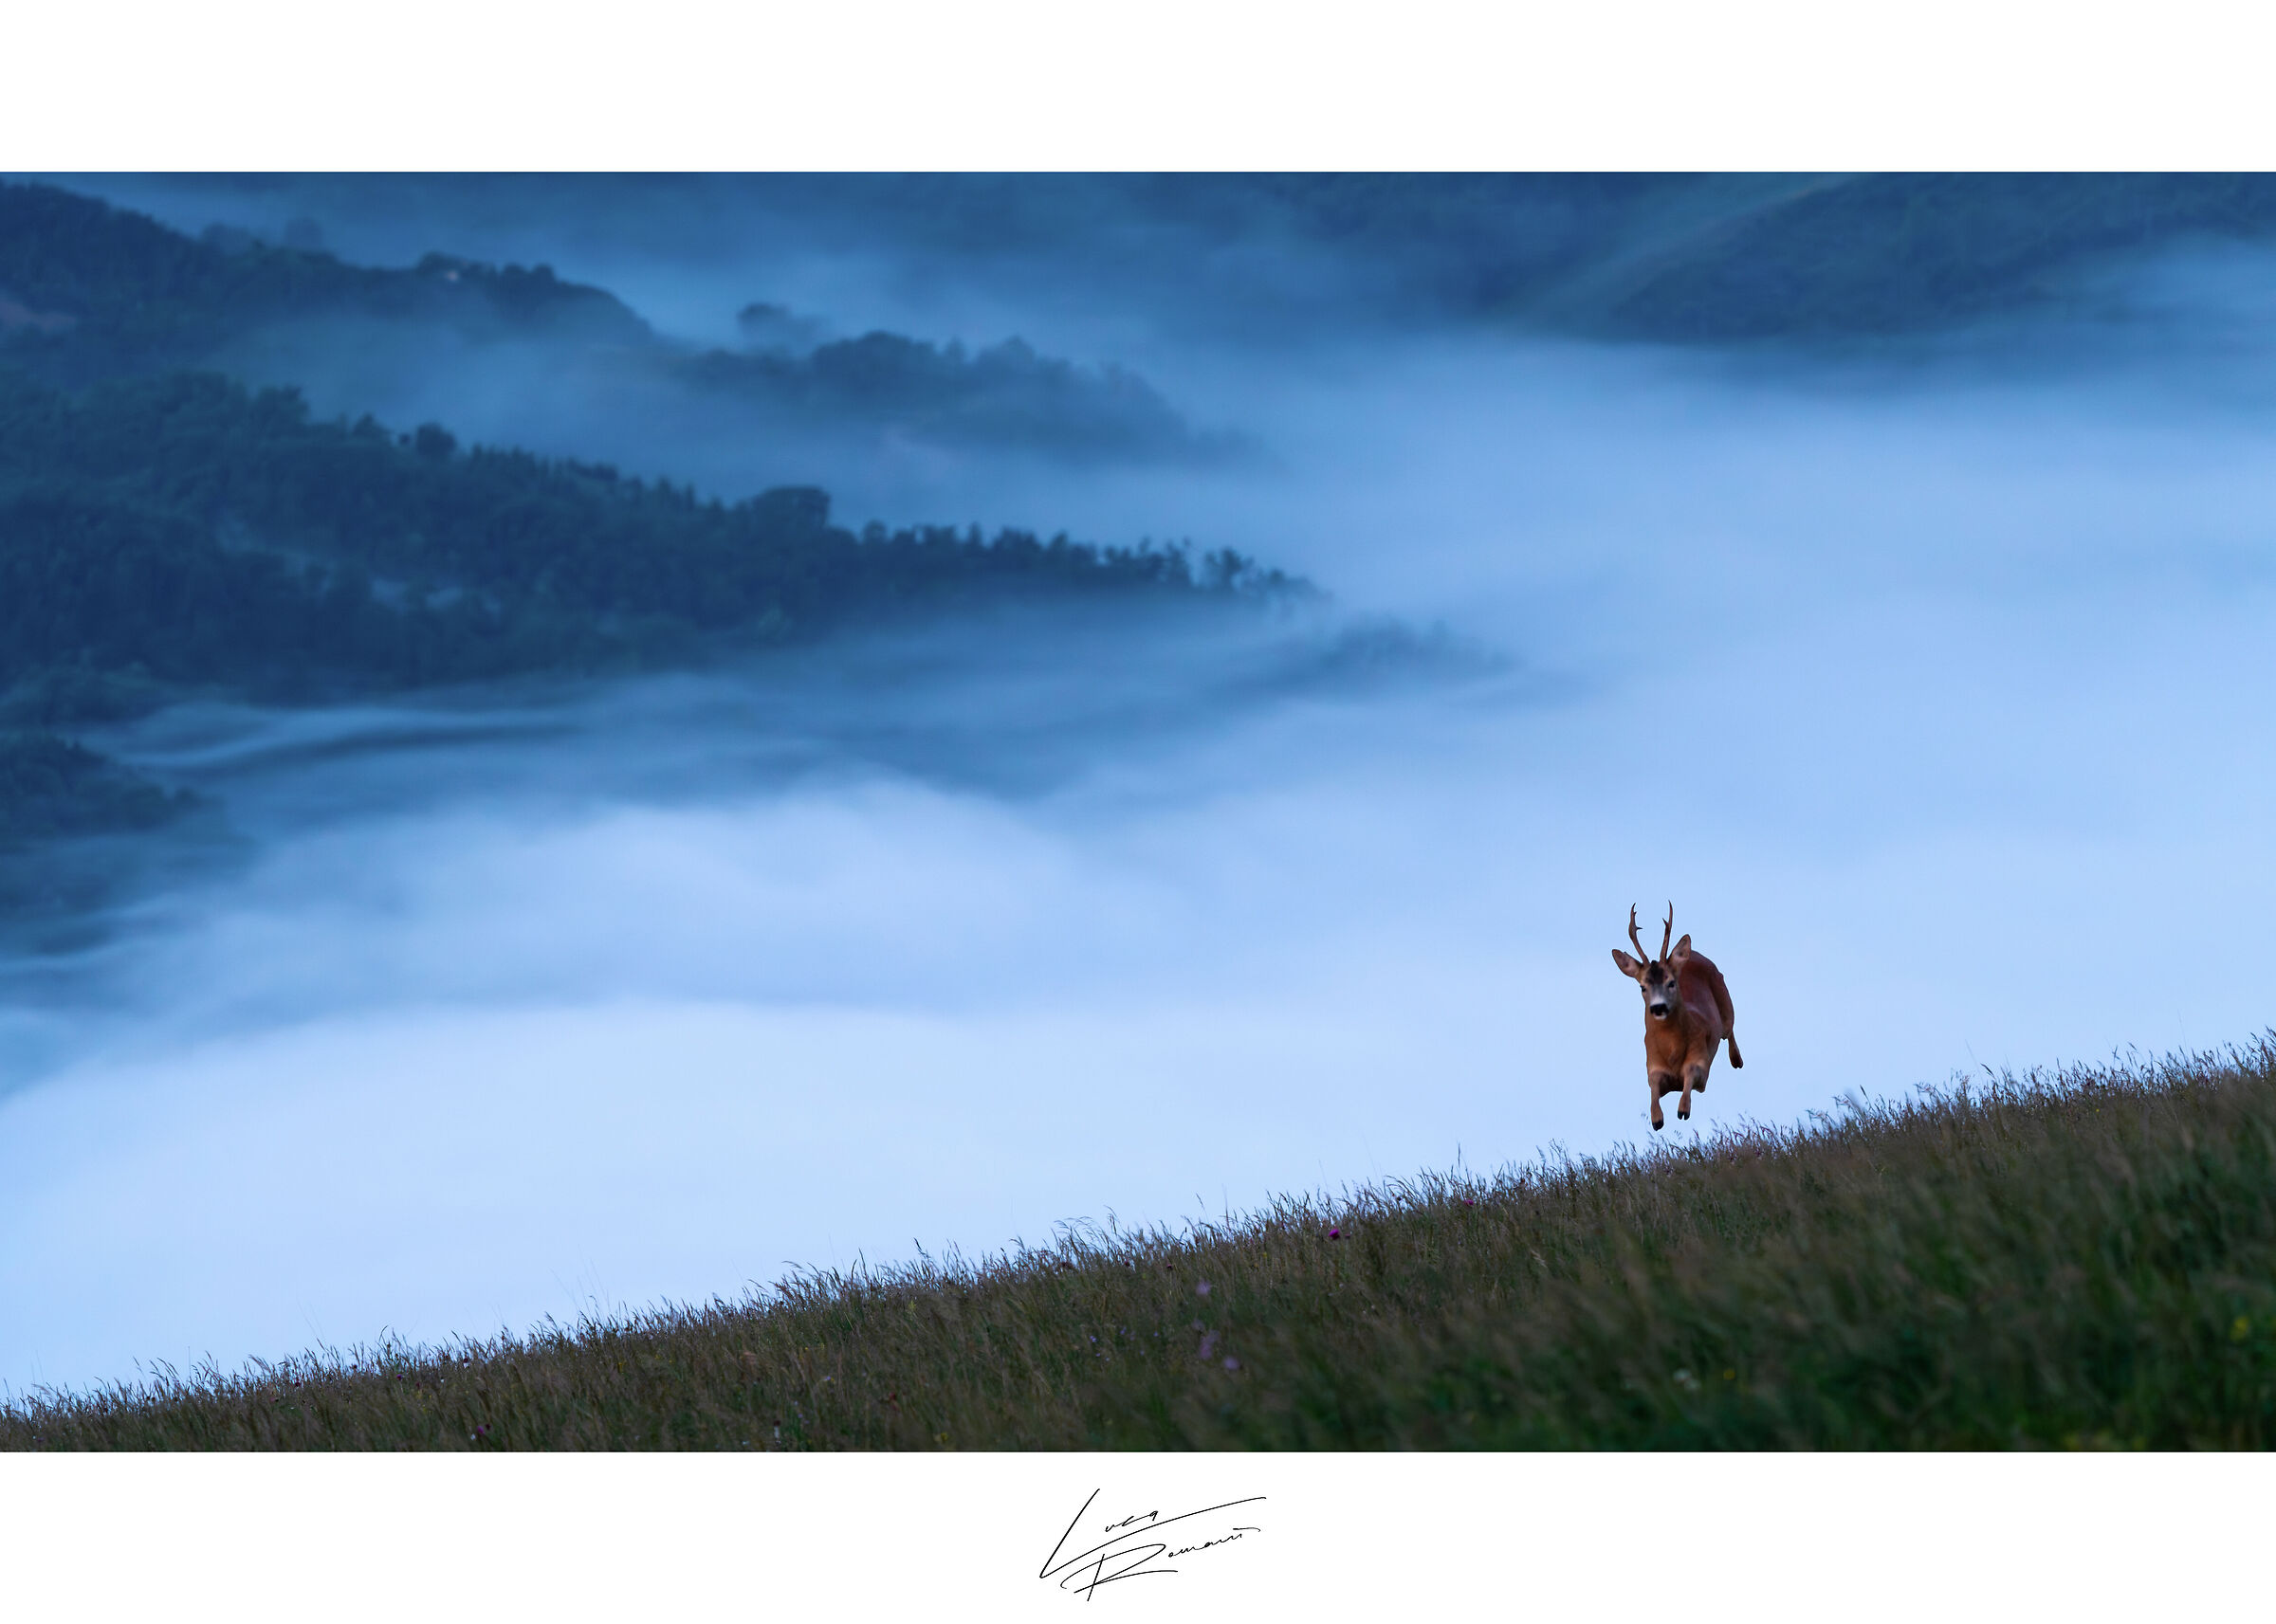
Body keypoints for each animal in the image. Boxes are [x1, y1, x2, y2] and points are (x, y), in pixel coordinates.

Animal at [1610, 903, 1742, 1131]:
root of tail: (1694, 953)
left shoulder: (1701, 1061)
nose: (1658, 1007)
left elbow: (1691, 1071)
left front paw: (1683, 1109)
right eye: (1642, 987)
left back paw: (1737, 1061)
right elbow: (1653, 1086)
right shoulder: (1652, 1064)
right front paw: (1657, 1119)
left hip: (1724, 998)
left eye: (1671, 982)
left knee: (1730, 1028)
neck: (1672, 1049)